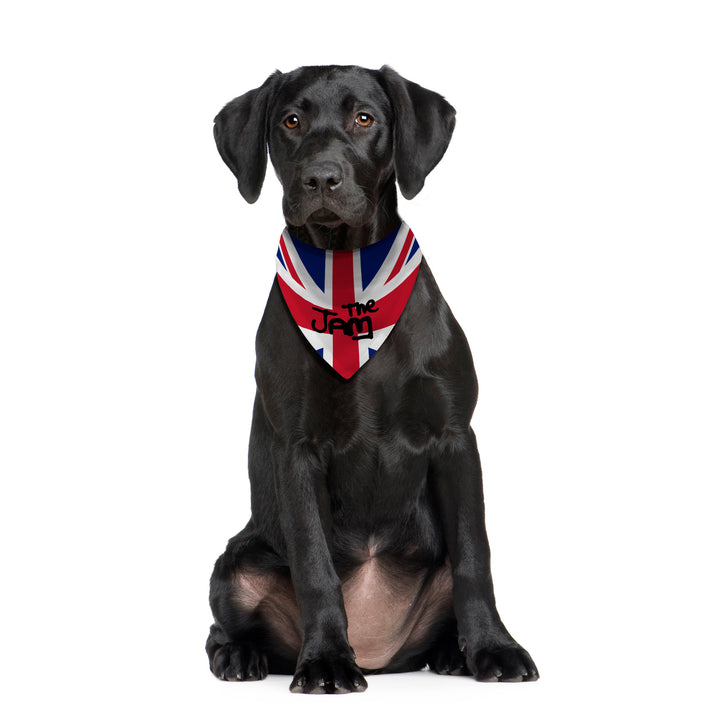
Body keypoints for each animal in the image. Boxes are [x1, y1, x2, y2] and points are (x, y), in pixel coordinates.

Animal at [206, 65, 538, 693]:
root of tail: (382, 653)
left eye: (365, 118)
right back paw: (242, 655)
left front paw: (494, 648)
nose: (321, 177)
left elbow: (475, 556)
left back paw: (454, 652)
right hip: (236, 560)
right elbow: (315, 564)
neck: (349, 284)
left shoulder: (455, 438)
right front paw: (326, 660)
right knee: (225, 620)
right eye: (291, 121)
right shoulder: (296, 450)